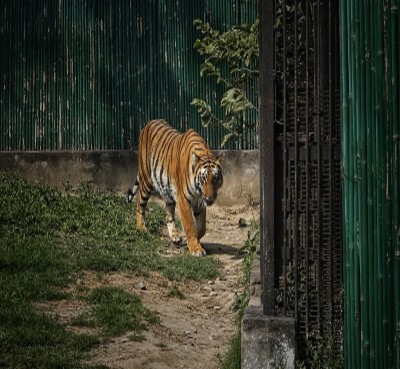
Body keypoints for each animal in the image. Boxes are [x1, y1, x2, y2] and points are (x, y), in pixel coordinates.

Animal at [127, 118, 223, 256]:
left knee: (169, 215)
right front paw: (196, 248)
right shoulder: (183, 199)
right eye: (203, 178)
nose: (210, 199)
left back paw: (175, 237)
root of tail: (149, 123)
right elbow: (189, 225)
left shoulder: (199, 201)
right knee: (140, 203)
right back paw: (141, 227)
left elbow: (201, 227)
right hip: (146, 179)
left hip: (167, 191)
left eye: (215, 178)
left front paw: (190, 242)